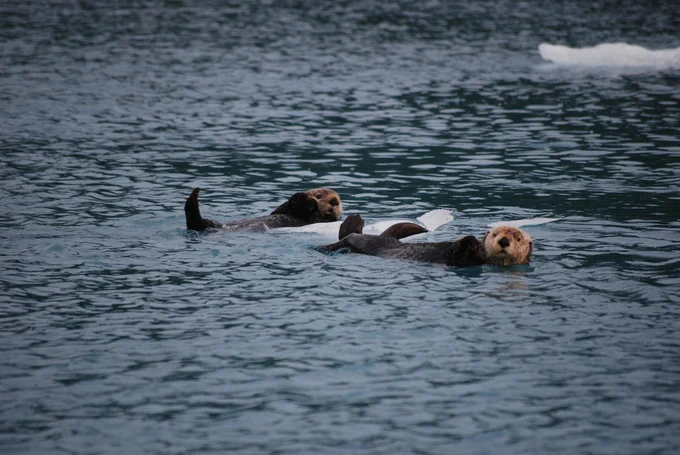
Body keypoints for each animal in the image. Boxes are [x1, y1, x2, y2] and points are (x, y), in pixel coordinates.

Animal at [184, 187, 342, 232]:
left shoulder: (316, 220)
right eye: (319, 195)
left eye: (338, 201)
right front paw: (307, 199)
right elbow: (282, 208)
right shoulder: (283, 210)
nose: (334, 201)